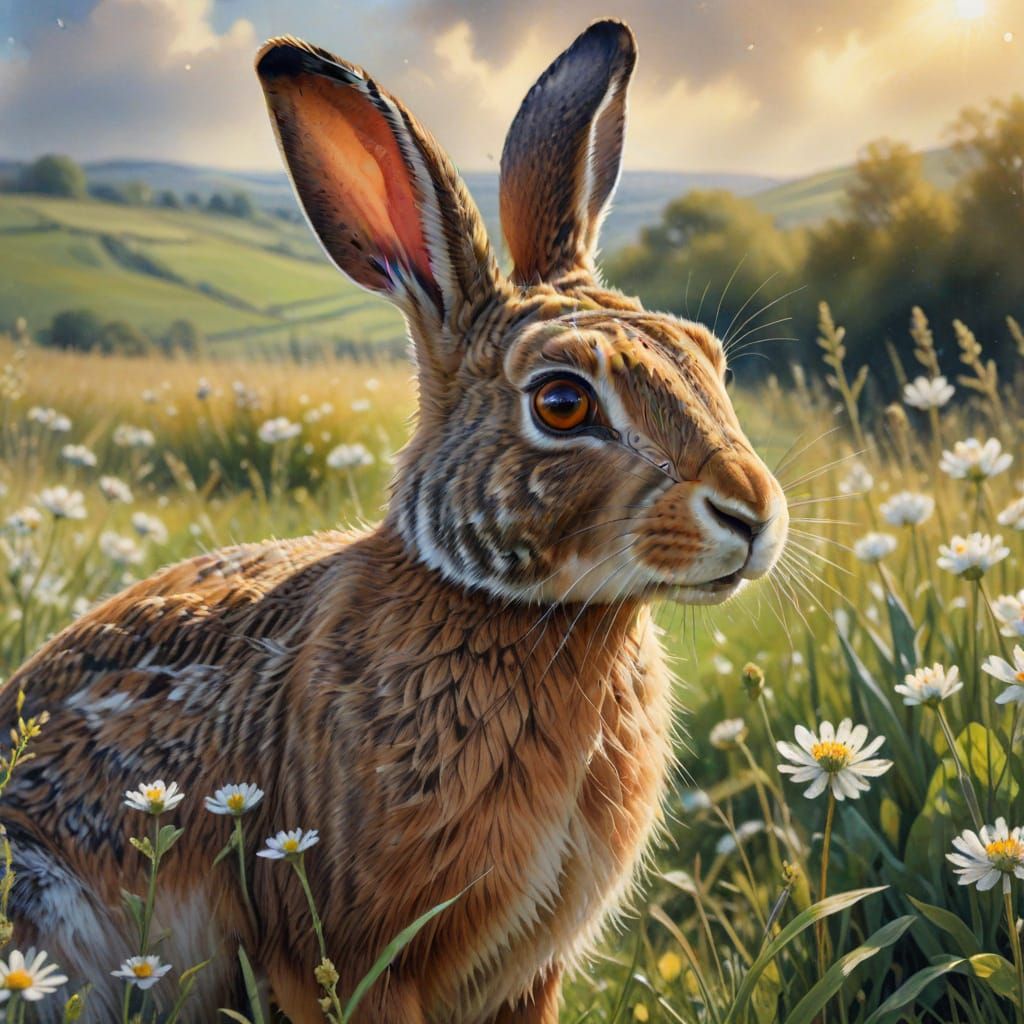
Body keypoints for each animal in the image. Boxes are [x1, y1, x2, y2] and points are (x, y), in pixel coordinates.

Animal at [0, 18, 789, 1024]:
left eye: (708, 358)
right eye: (563, 402)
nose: (753, 512)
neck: (513, 609)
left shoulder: (529, 973)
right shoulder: (344, 950)